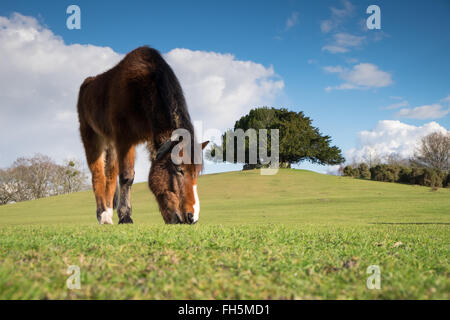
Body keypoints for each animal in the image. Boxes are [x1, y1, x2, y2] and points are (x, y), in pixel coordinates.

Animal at [77, 46, 209, 225]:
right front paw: (125, 216)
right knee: (98, 176)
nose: (192, 217)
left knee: (110, 178)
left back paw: (109, 214)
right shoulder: (125, 139)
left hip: (111, 144)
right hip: (91, 137)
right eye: (179, 170)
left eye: (196, 173)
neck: (141, 88)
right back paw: (103, 215)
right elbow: (126, 176)